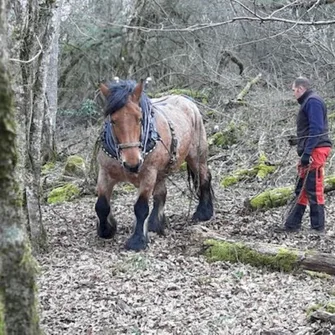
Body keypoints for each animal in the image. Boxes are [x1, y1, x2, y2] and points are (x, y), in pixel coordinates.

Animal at [96, 79, 214, 252]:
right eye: (113, 120)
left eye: (139, 118)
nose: (132, 164)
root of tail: (187, 101)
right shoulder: (105, 173)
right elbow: (102, 205)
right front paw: (107, 229)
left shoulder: (148, 174)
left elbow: (141, 207)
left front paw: (137, 240)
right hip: (162, 170)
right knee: (161, 193)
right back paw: (154, 223)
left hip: (196, 156)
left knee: (204, 178)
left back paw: (204, 212)